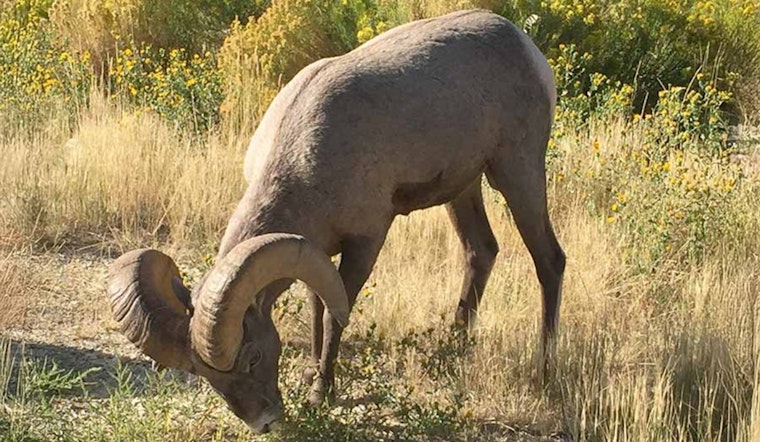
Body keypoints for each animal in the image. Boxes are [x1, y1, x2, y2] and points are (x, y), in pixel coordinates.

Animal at [106, 9, 565, 433]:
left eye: (253, 356)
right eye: (203, 375)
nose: (264, 422)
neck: (305, 156)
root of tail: (523, 44)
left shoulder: (367, 240)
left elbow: (333, 314)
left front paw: (320, 393)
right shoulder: (318, 248)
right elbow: (316, 305)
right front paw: (314, 373)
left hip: (515, 170)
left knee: (549, 260)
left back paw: (544, 369)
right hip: (463, 187)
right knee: (480, 250)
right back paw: (452, 348)